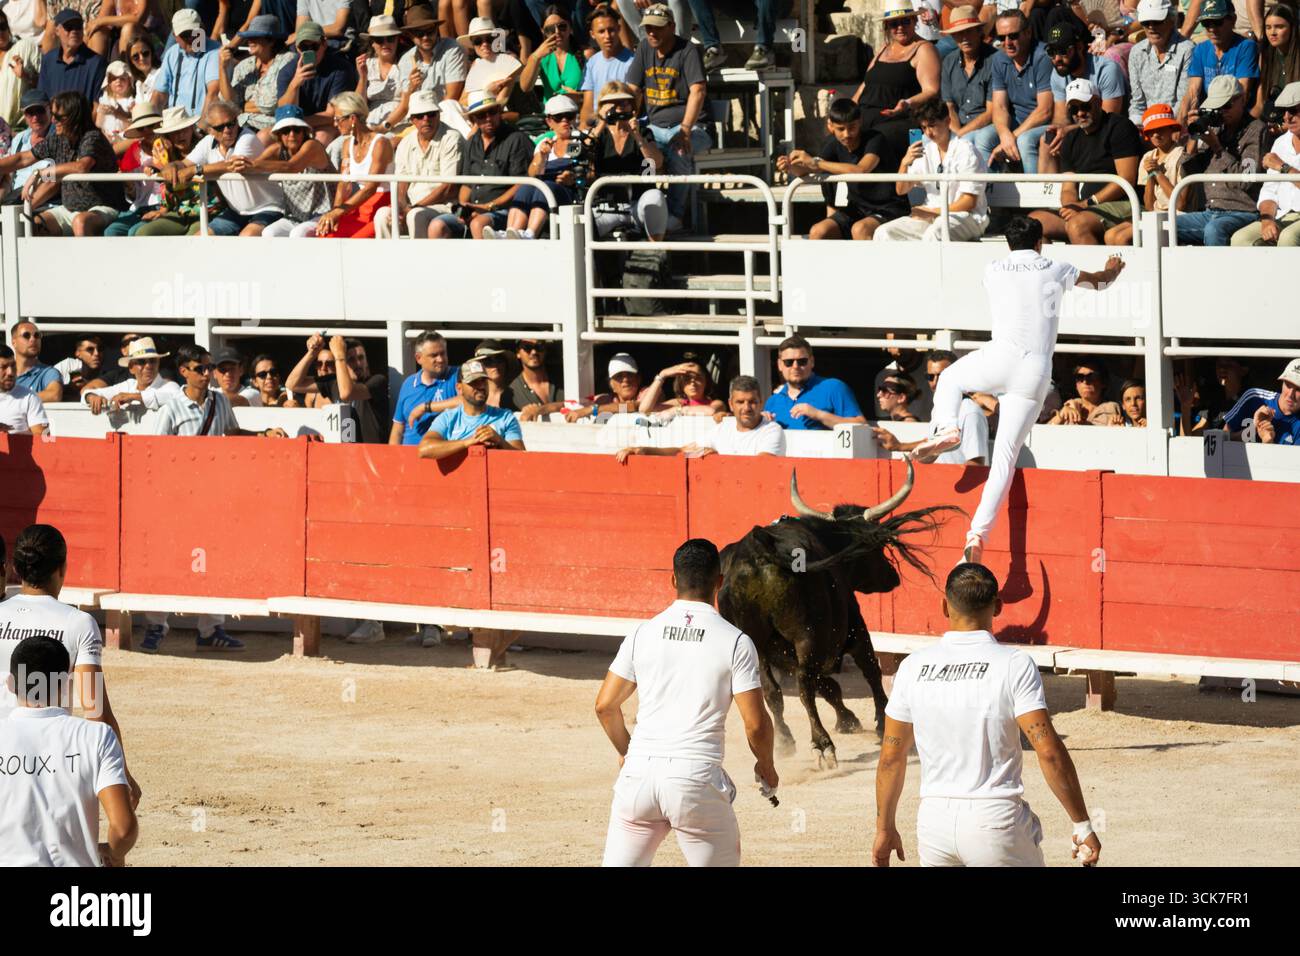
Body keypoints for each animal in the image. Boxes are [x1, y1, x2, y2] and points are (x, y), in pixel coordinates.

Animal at [718, 457, 955, 769]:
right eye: (876, 548)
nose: (892, 578)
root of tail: (761, 550)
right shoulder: (855, 628)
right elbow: (869, 670)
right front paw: (880, 722)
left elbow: (828, 686)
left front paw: (848, 719)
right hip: (808, 636)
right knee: (805, 686)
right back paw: (822, 744)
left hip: (756, 645)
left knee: (771, 690)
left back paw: (785, 740)